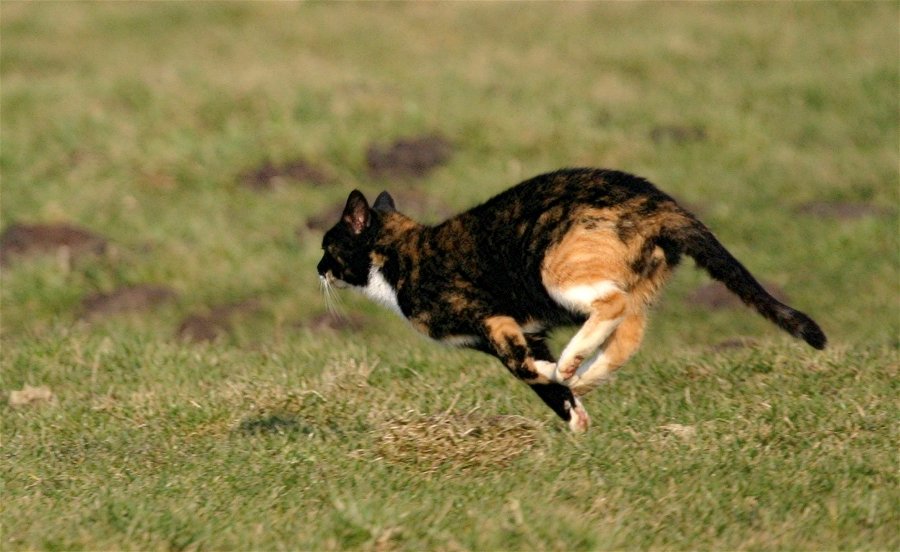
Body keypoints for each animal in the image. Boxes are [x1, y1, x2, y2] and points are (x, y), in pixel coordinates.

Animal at [318, 168, 828, 432]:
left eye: (327, 245)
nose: (317, 269)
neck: (399, 256)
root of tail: (662, 204)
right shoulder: (523, 331)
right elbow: (538, 383)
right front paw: (576, 417)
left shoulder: (493, 320)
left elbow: (526, 370)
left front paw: (559, 373)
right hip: (635, 283)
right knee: (628, 334)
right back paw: (586, 373)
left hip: (557, 267)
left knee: (612, 308)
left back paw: (573, 364)